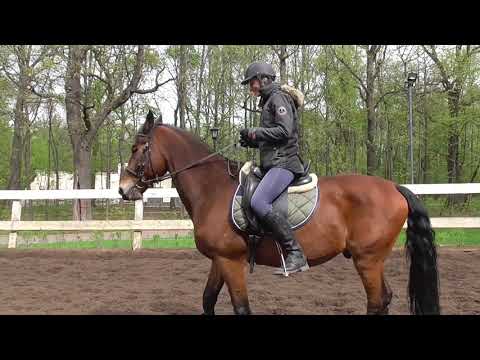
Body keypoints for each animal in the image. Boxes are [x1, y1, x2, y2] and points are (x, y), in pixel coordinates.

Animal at [119, 112, 438, 316]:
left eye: (137, 148)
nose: (124, 189)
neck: (213, 189)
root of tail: (394, 187)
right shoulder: (220, 260)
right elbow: (208, 300)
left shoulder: (231, 262)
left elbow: (241, 308)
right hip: (372, 261)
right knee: (384, 299)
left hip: (368, 260)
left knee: (376, 302)